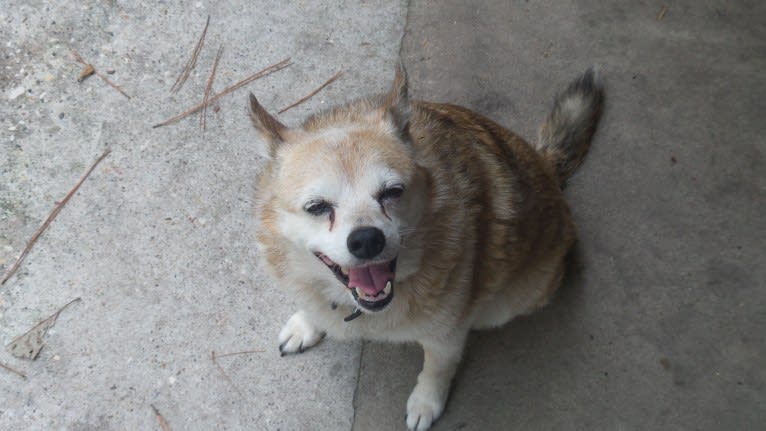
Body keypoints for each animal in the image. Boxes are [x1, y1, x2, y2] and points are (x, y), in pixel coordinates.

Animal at [252, 65, 608, 431]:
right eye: (318, 207)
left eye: (392, 192)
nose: (367, 239)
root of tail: (546, 164)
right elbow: (313, 306)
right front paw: (307, 323)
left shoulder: (447, 335)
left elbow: (437, 368)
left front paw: (426, 402)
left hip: (510, 302)